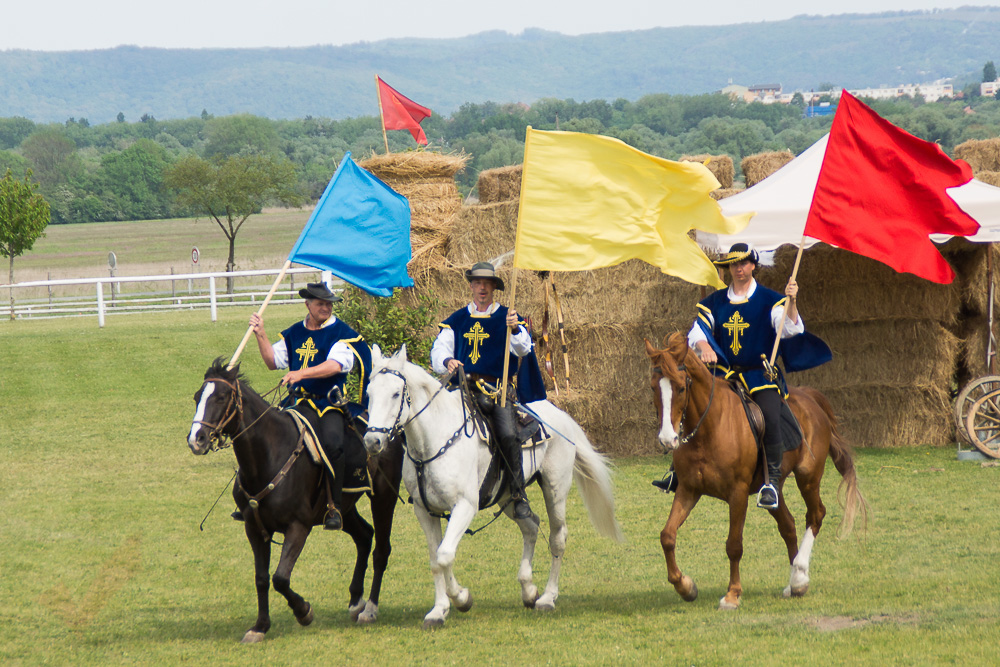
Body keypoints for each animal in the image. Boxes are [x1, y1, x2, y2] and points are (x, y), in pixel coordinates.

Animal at [186, 360, 404, 640]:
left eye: (222, 397)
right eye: (197, 397)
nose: (196, 439)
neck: (270, 455)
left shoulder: (298, 526)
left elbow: (280, 578)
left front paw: (303, 612)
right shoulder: (254, 528)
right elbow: (261, 578)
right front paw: (260, 626)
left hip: (384, 496)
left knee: (381, 549)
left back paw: (370, 609)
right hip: (343, 507)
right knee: (364, 535)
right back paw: (356, 600)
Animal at [360, 348, 624, 628]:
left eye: (395, 393)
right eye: (369, 393)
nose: (372, 441)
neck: (434, 441)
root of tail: (560, 415)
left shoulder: (464, 506)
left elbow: (445, 554)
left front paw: (462, 598)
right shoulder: (424, 510)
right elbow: (435, 560)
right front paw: (439, 610)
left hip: (555, 489)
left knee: (557, 538)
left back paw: (547, 598)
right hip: (508, 497)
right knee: (531, 526)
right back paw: (529, 590)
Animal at [644, 334, 864, 612]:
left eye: (682, 388)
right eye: (654, 387)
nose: (667, 439)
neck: (710, 427)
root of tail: (810, 398)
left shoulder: (737, 493)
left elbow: (734, 545)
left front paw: (732, 595)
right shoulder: (688, 489)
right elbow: (667, 536)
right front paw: (685, 586)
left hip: (808, 477)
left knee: (815, 515)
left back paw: (800, 575)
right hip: (773, 487)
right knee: (788, 524)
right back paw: (793, 583)